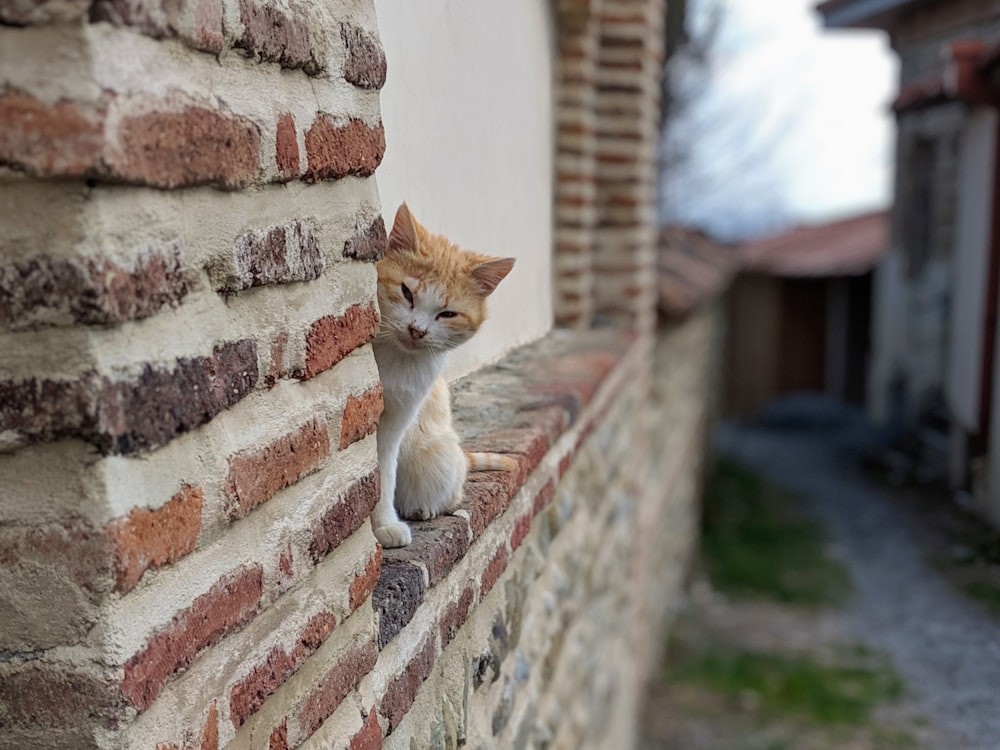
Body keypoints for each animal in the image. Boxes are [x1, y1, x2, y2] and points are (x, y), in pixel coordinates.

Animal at [372, 203, 520, 548]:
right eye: (406, 293)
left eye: (448, 314)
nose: (417, 330)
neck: (394, 356)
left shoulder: (395, 420)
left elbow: (384, 472)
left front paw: (384, 523)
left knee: (450, 495)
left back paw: (421, 509)